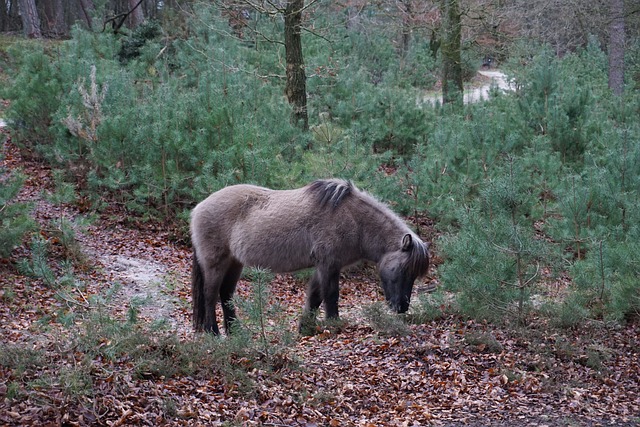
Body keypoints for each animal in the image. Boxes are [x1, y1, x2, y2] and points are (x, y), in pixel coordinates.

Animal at [190, 178, 430, 334]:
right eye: (403, 269)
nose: (402, 307)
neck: (353, 219)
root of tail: (198, 208)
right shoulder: (329, 265)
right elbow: (331, 296)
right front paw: (333, 325)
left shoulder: (323, 266)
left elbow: (314, 297)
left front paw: (305, 328)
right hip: (215, 263)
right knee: (210, 294)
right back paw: (213, 331)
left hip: (234, 263)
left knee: (226, 295)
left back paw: (235, 332)